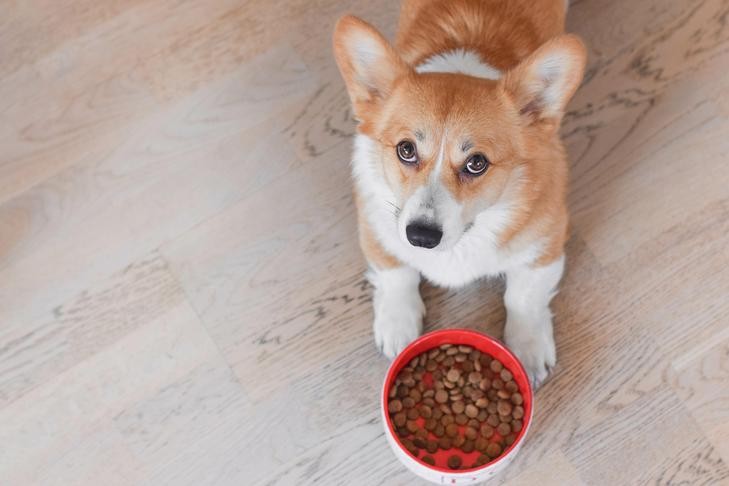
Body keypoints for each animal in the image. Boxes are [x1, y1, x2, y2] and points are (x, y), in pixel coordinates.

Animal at [334, 0, 584, 388]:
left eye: (477, 163)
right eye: (406, 149)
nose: (420, 237)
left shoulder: (547, 243)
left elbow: (523, 296)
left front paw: (527, 351)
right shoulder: (375, 226)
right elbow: (396, 273)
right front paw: (398, 326)